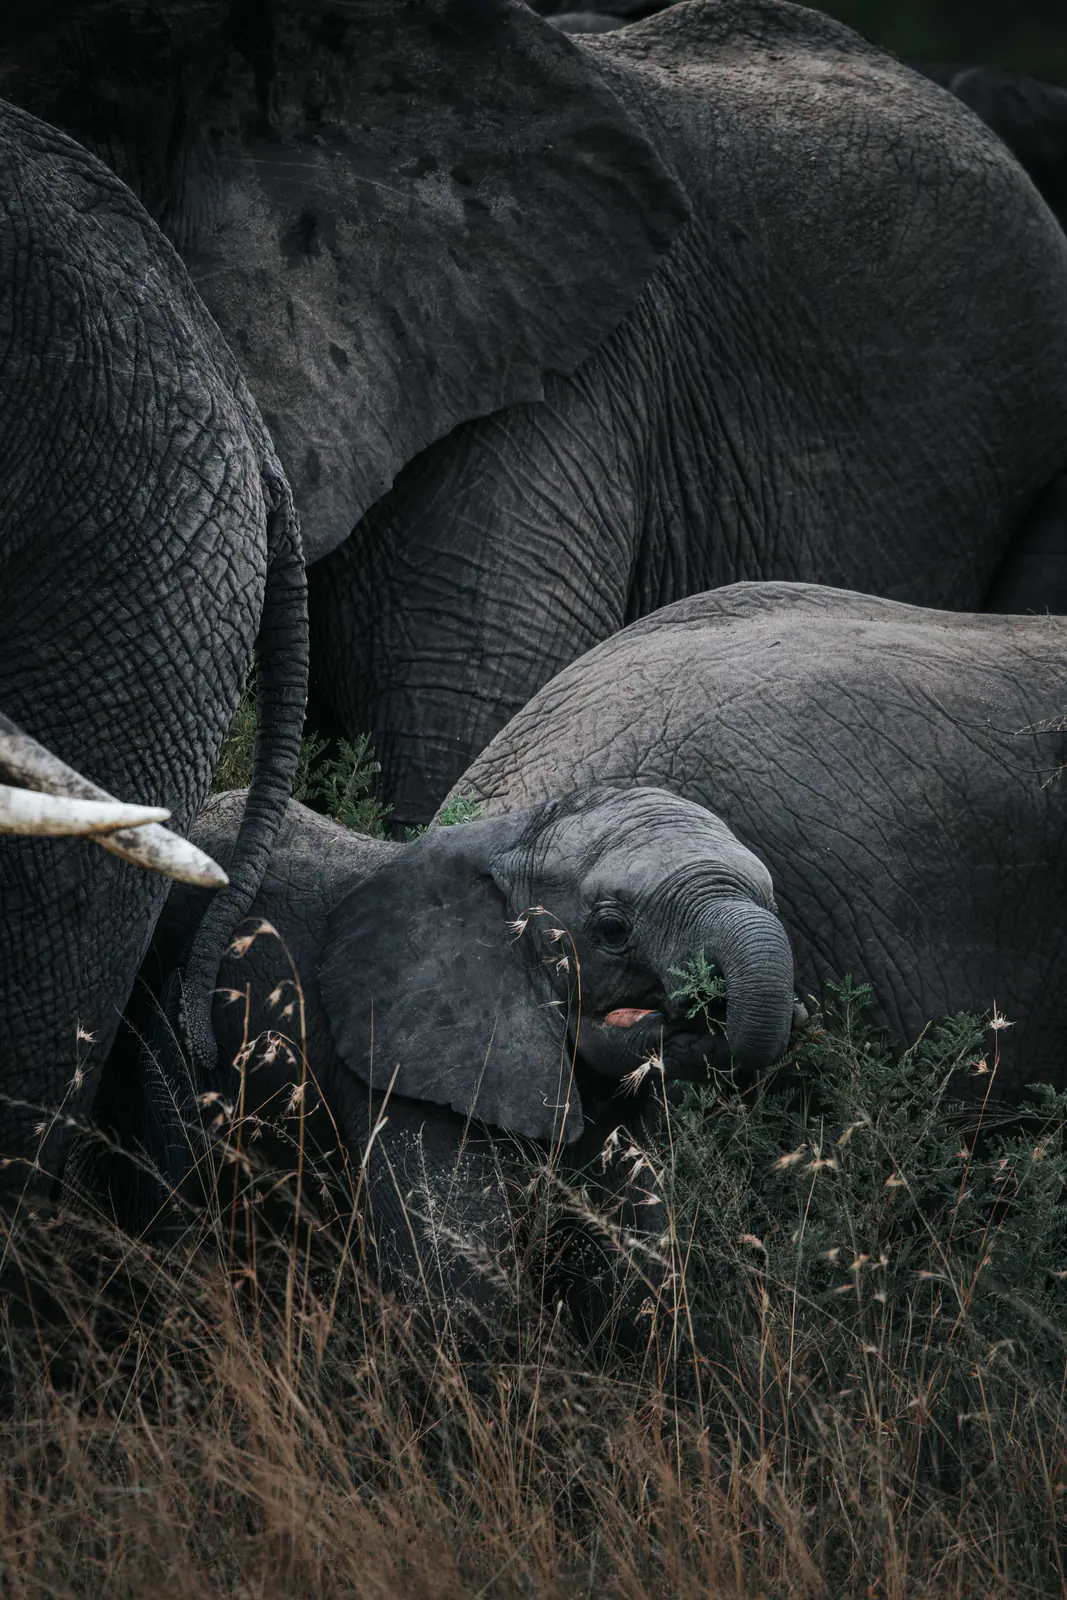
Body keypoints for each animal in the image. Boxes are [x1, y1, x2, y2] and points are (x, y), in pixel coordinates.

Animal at [112, 783, 797, 1338]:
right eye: (611, 929)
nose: (710, 1005)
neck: (511, 842)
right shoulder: (403, 1066)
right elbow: (457, 1292)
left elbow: (629, 1283)